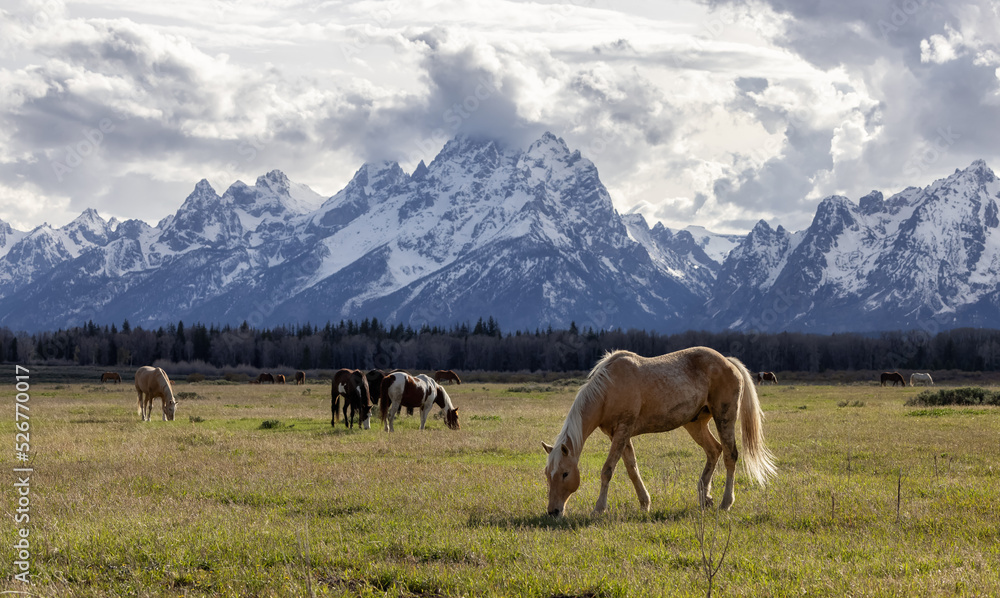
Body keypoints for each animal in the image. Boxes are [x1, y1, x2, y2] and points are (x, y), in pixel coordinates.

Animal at [544, 350, 776, 516]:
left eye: (565, 473)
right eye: (548, 474)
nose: (553, 511)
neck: (608, 389)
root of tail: (727, 362)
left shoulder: (622, 430)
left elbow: (608, 469)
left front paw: (599, 508)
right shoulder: (618, 435)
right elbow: (632, 468)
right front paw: (645, 503)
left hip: (724, 417)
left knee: (730, 455)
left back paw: (725, 503)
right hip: (696, 424)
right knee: (714, 451)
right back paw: (705, 497)